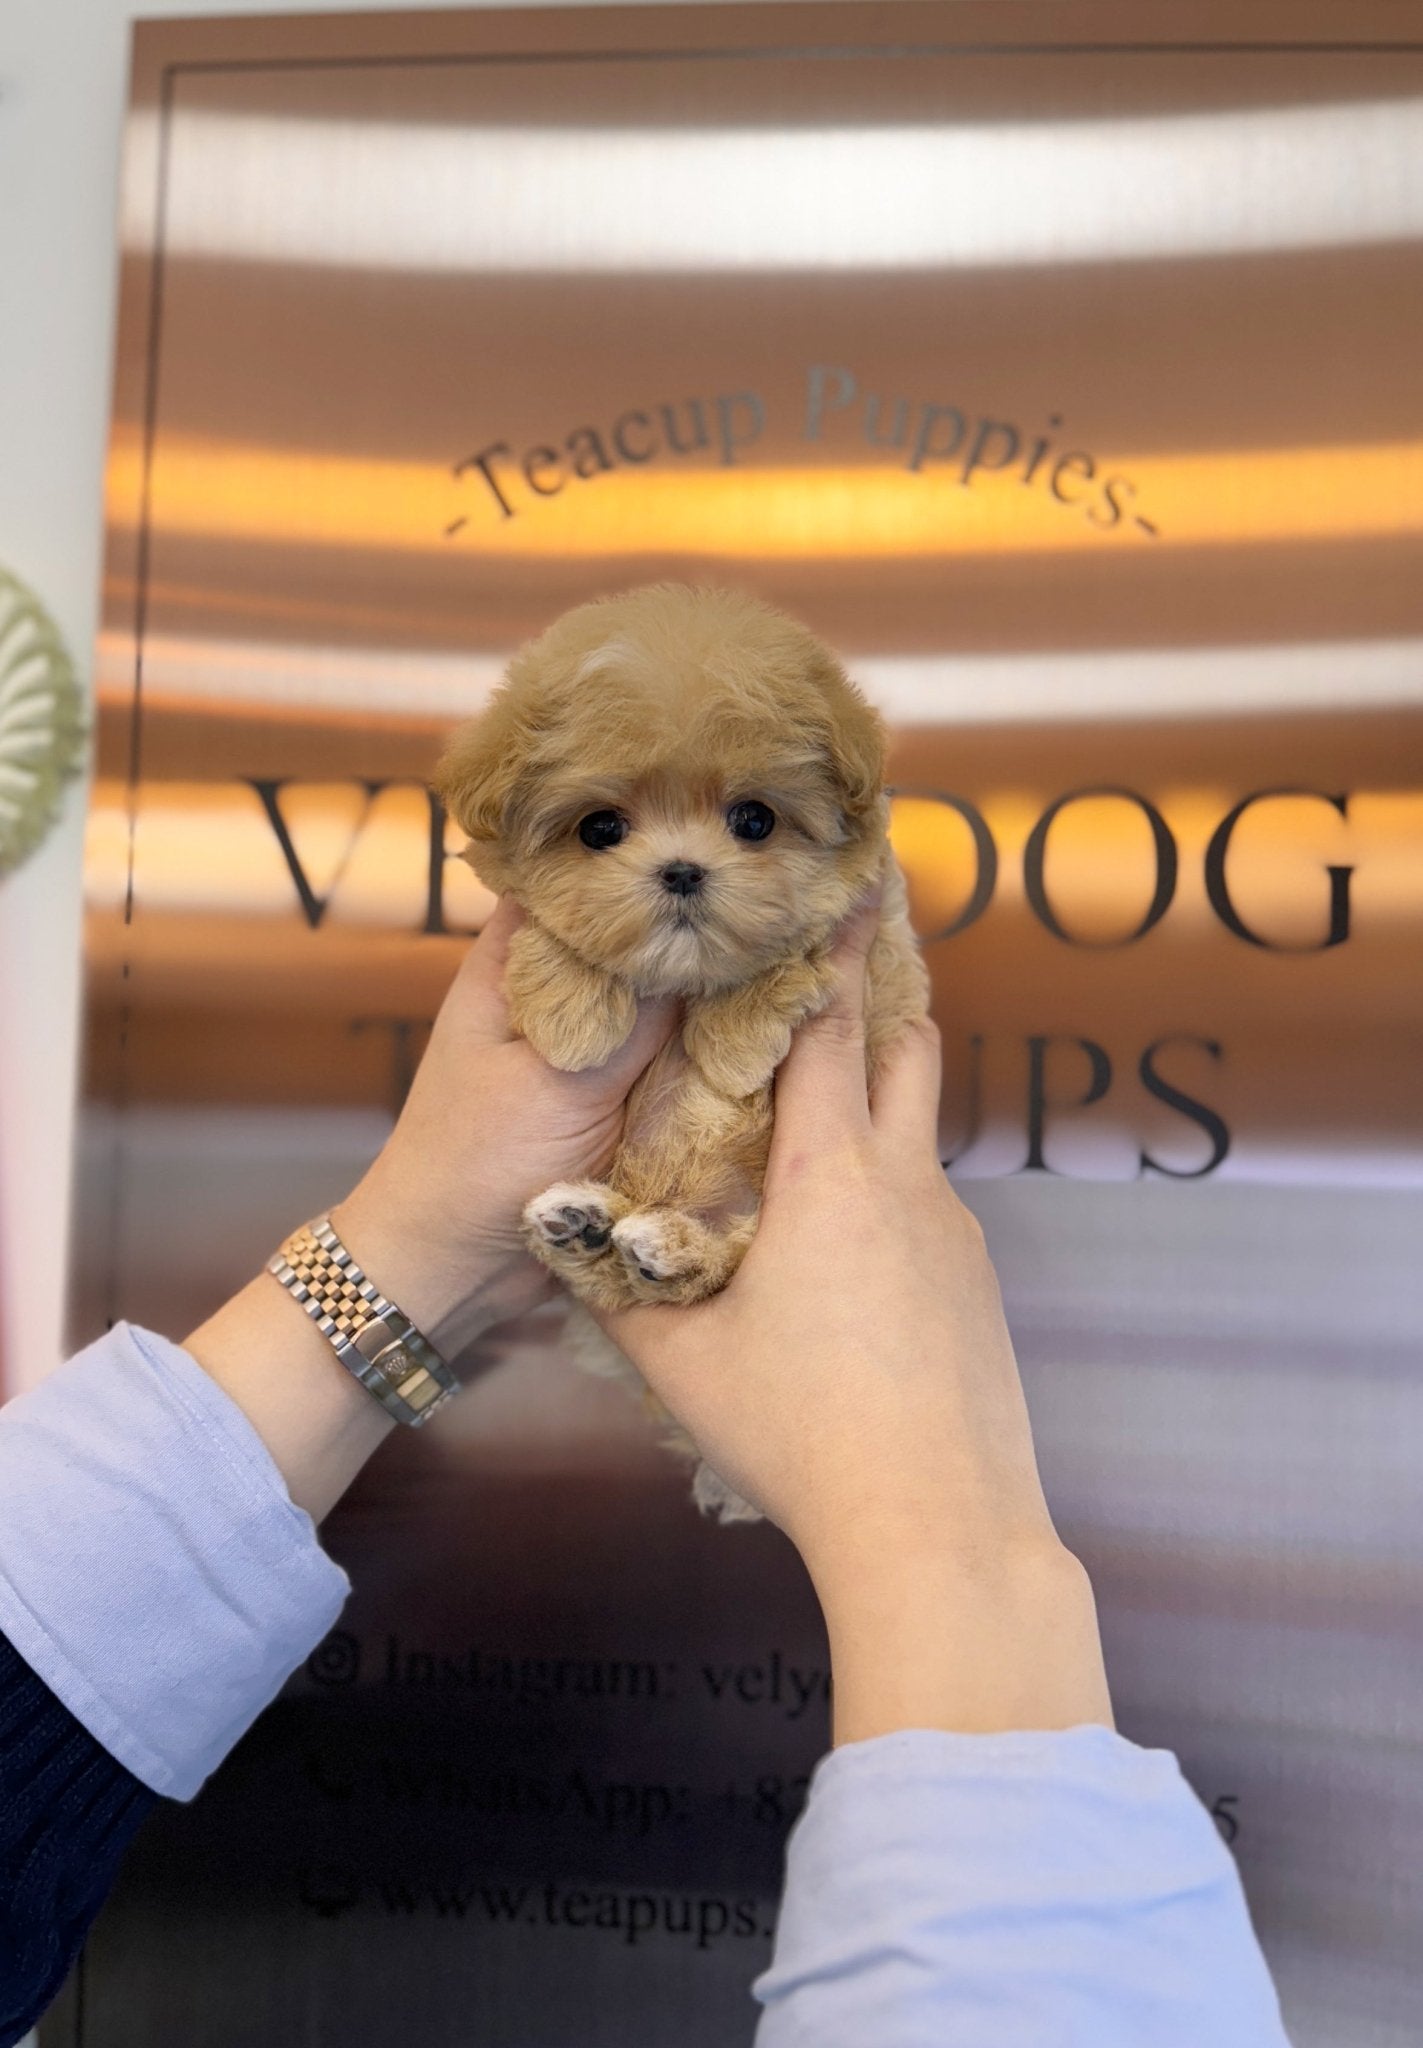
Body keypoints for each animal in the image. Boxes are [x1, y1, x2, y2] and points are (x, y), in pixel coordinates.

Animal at [434, 585, 929, 1515]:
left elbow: (790, 952)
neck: (684, 977)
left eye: (754, 819)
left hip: (755, 1233)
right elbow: (552, 940)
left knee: (714, 1267)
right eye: (599, 828)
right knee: (606, 1279)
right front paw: (572, 1016)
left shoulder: (874, 952)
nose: (681, 871)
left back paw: (666, 1246)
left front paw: (730, 1045)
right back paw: (583, 1225)